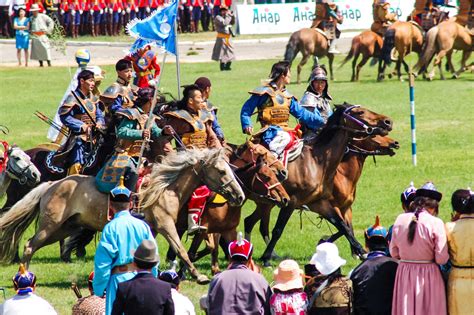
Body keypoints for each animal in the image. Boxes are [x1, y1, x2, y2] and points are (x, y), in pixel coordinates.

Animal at [0, 149, 244, 286]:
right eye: (221, 171)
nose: (240, 196)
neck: (166, 188)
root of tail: (51, 184)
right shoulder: (166, 225)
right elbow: (181, 250)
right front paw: (199, 276)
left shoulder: (152, 228)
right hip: (50, 226)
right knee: (30, 245)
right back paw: (25, 276)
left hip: (65, 228)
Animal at [243, 103, 394, 266]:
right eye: (359, 112)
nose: (388, 122)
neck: (318, 163)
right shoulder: (292, 202)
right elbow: (278, 230)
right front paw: (265, 258)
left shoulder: (321, 203)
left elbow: (344, 227)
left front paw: (362, 252)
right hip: (267, 202)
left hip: (266, 202)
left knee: (250, 221)